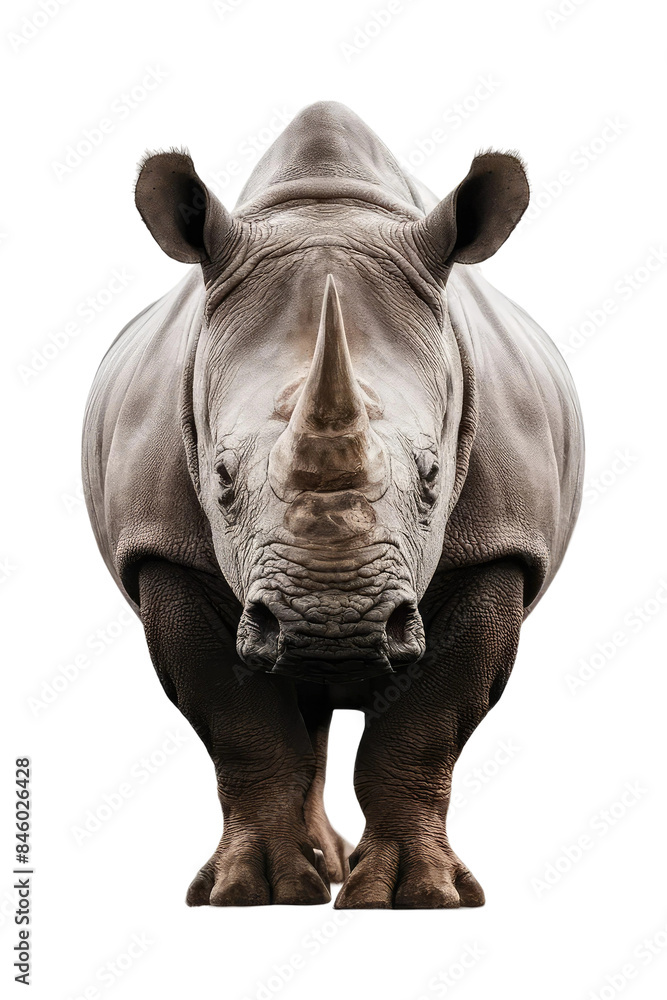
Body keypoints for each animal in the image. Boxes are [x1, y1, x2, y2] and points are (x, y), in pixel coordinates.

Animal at [82, 101, 583, 909]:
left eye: (433, 475)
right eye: (220, 477)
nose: (331, 626)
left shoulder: (498, 548)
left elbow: (423, 727)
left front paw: (418, 897)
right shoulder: (163, 551)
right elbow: (243, 727)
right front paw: (249, 894)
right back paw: (317, 869)